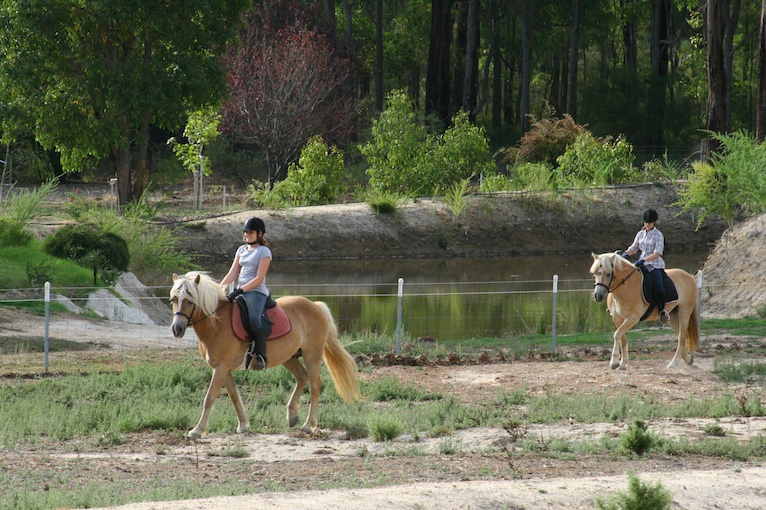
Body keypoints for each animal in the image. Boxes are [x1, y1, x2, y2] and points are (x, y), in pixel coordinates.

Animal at [170, 270, 362, 438]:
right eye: (173, 299)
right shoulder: (223, 369)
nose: (176, 329)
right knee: (302, 377)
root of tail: (315, 305)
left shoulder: (221, 368)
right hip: (289, 357)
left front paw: (197, 430)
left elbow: (209, 398)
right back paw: (292, 415)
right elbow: (234, 395)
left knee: (315, 385)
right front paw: (243, 425)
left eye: (190, 300)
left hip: (312, 355)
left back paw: (308, 425)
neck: (218, 323)